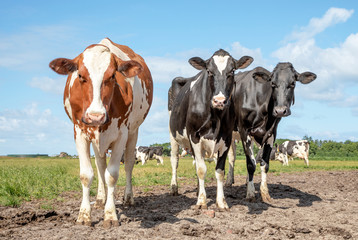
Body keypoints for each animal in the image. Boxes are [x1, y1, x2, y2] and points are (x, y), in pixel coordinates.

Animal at [49, 38, 152, 229]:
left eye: (112, 76)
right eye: (80, 76)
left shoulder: (121, 135)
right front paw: (84, 215)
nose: (95, 116)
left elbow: (112, 175)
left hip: (133, 132)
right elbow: (87, 174)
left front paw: (110, 214)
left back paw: (128, 198)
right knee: (100, 165)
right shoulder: (79, 133)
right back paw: (100, 199)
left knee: (128, 165)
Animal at [169, 49, 253, 210]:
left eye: (232, 71)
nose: (219, 101)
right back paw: (174, 188)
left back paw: (197, 190)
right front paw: (202, 201)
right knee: (175, 160)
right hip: (173, 136)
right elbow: (201, 170)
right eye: (209, 71)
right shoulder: (194, 136)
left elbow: (219, 171)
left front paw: (221, 202)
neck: (216, 116)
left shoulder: (226, 138)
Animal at [227, 62, 316, 202]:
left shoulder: (271, 133)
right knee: (231, 156)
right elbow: (251, 164)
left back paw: (245, 180)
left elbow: (264, 164)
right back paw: (229, 181)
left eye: (293, 83)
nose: (280, 110)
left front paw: (265, 193)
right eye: (273, 84)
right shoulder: (244, 130)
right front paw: (250, 194)